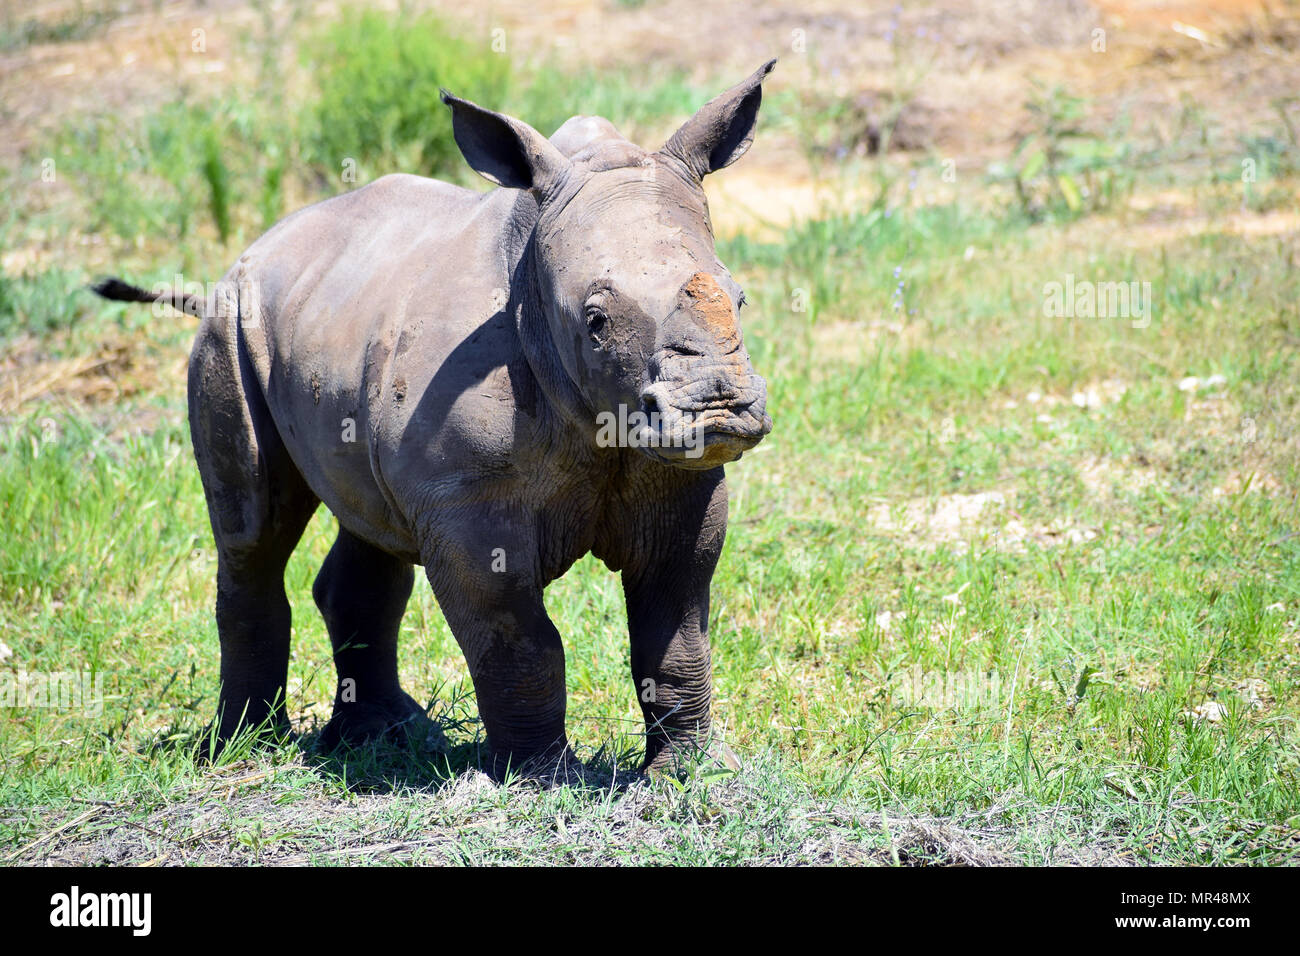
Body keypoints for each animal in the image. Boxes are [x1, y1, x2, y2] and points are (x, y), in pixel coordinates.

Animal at [98, 57, 780, 780]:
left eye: (739, 298)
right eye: (595, 322)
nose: (720, 409)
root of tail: (248, 254)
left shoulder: (682, 480)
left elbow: (675, 632)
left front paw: (694, 773)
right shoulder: (468, 504)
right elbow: (521, 641)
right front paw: (543, 779)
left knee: (367, 525)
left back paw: (385, 736)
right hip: (232, 327)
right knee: (254, 534)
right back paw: (244, 746)